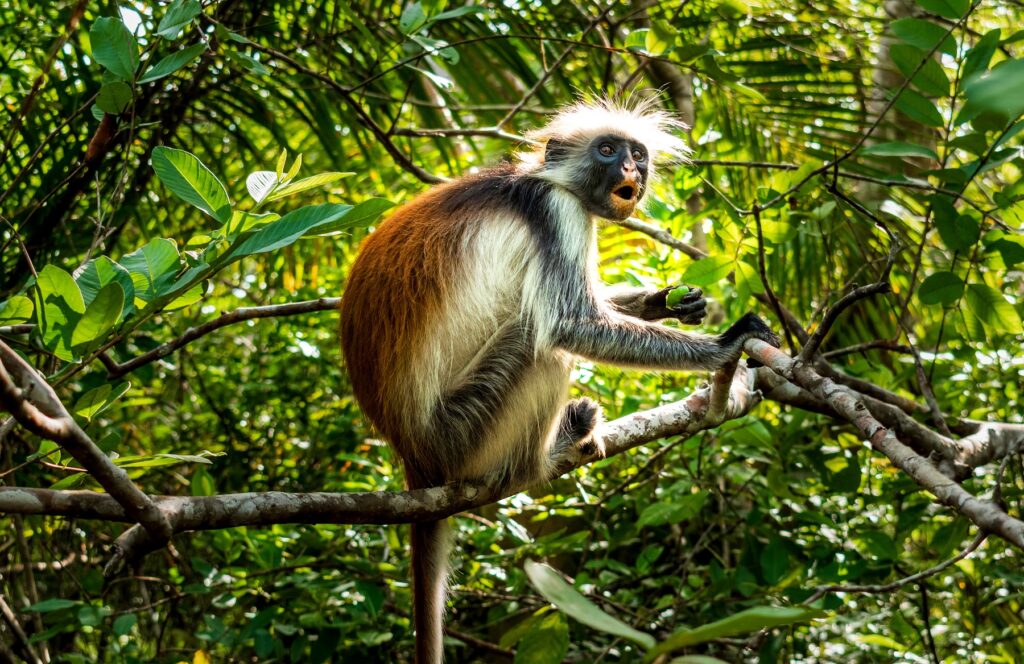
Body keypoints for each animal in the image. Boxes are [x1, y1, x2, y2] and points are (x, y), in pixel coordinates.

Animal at [339, 100, 778, 659]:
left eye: (637, 154)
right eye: (607, 150)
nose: (630, 169)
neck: (541, 179)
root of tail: (412, 453)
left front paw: (665, 301)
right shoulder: (556, 214)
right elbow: (571, 324)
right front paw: (727, 344)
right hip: (462, 432)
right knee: (541, 343)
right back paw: (547, 453)